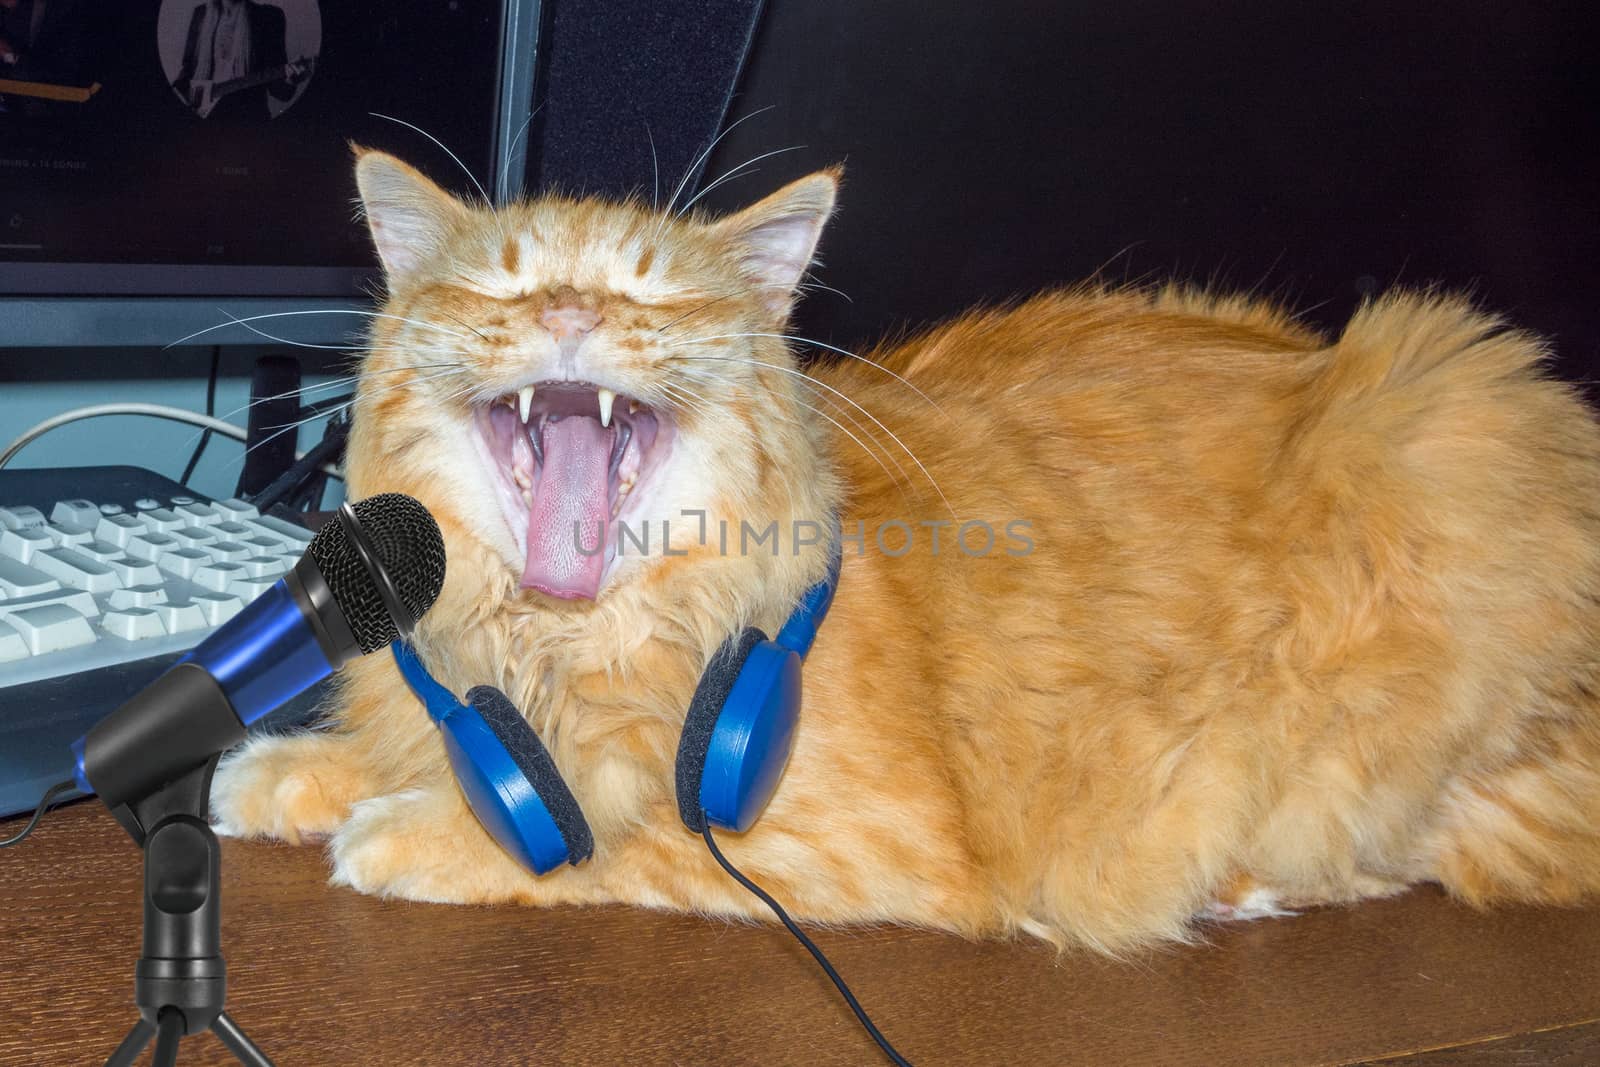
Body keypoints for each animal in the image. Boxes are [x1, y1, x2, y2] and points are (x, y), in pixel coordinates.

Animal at [212, 147, 1600, 953]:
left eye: (655, 293)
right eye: (501, 286)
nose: (566, 310)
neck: (554, 646)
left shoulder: (853, 839)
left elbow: (609, 835)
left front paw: (407, 831)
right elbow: (387, 752)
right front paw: (282, 769)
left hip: (1436, 425)